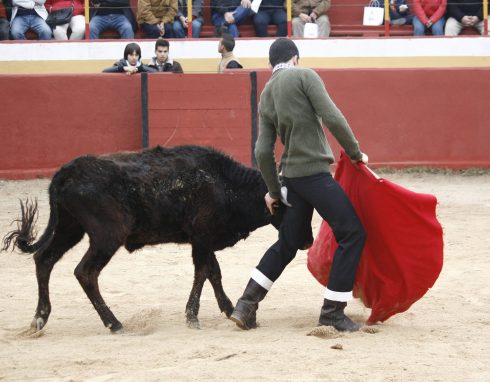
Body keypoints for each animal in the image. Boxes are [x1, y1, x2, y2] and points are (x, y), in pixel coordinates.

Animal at [1, 145, 312, 332]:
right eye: (291, 208)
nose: (307, 241)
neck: (226, 185)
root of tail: (66, 172)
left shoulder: (202, 239)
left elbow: (214, 272)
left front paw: (229, 309)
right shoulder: (202, 237)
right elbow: (203, 272)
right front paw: (192, 317)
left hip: (70, 228)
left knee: (45, 259)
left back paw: (40, 317)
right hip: (107, 235)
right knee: (85, 272)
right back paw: (114, 323)